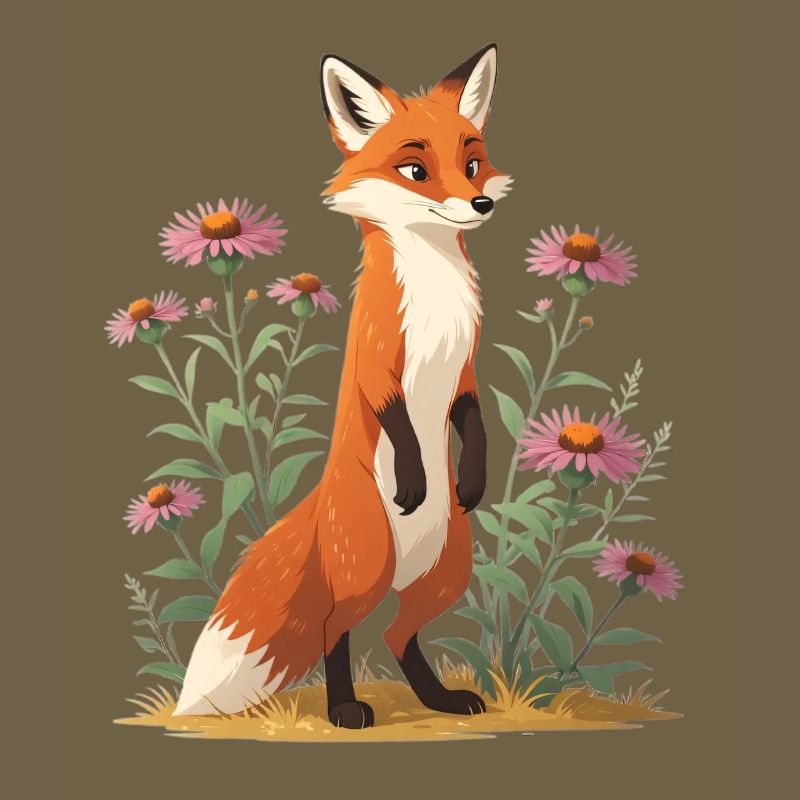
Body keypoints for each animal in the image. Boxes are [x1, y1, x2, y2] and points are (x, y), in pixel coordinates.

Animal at [175, 44, 512, 728]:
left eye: (472, 163)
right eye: (415, 169)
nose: (480, 204)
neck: (434, 294)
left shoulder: (465, 370)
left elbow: (473, 418)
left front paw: (472, 479)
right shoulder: (377, 363)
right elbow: (398, 418)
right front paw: (414, 477)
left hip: (446, 575)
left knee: (396, 635)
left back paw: (439, 699)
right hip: (370, 566)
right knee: (337, 629)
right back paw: (345, 709)